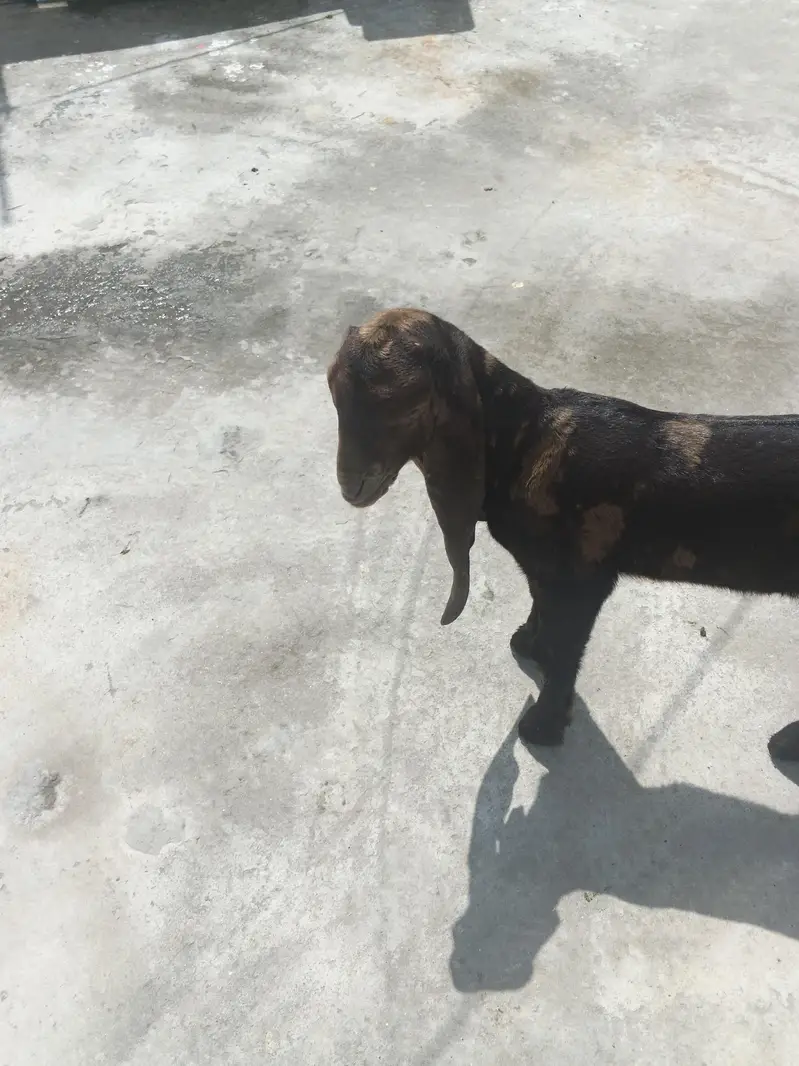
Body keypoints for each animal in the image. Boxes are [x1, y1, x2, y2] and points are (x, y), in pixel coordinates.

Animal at [327, 308, 799, 754]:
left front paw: (542, 727)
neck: (523, 440)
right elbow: (540, 604)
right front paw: (529, 643)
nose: (352, 488)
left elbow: (566, 649)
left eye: (403, 407)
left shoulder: (582, 581)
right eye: (334, 396)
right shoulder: (544, 567)